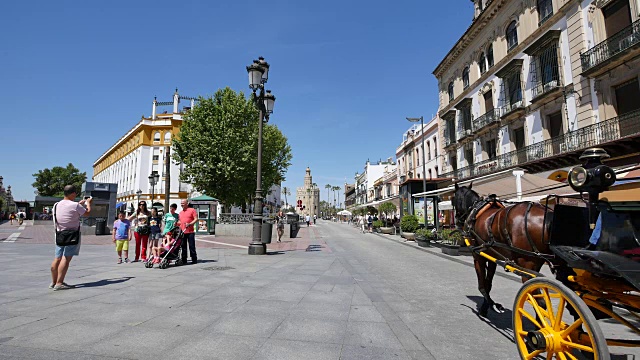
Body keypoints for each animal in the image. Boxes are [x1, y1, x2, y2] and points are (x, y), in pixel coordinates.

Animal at [452, 184, 552, 316]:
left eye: (453, 200)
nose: (457, 220)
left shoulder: (478, 256)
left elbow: (482, 286)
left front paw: (493, 305)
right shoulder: (491, 257)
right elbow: (488, 284)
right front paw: (485, 307)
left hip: (527, 267)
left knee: (540, 302)